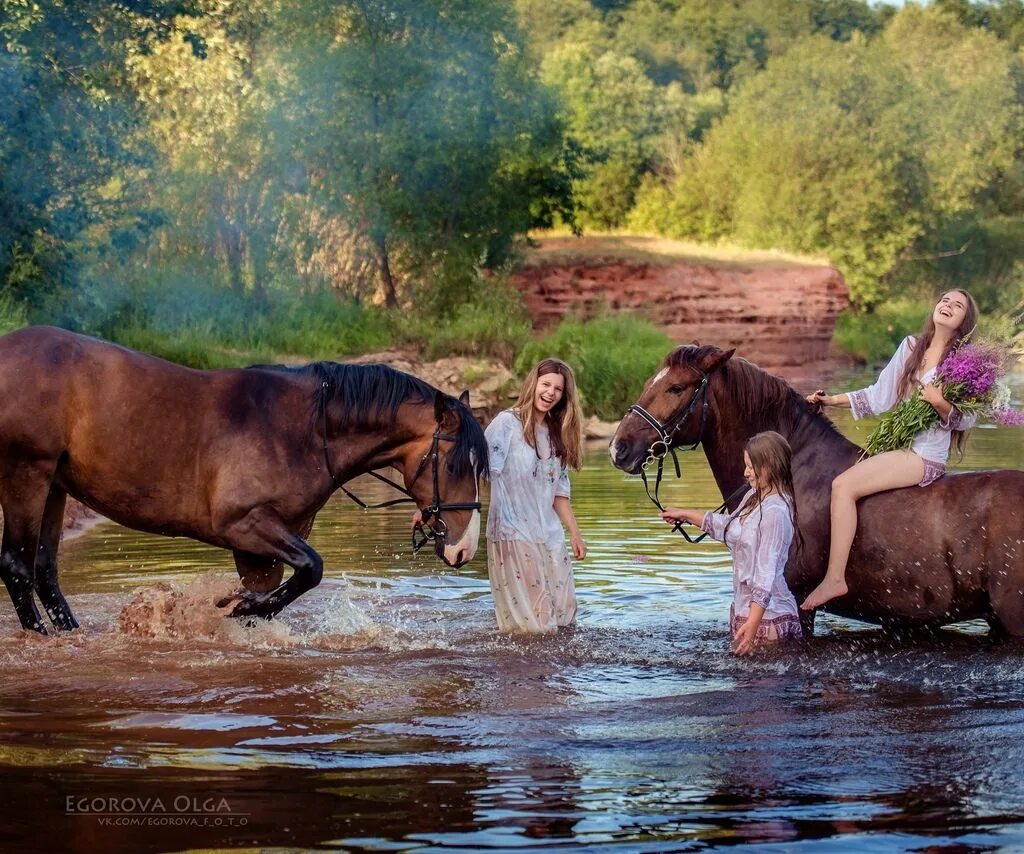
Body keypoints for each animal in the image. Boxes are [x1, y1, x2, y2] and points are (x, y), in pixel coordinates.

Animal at [0, 325, 487, 630]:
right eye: (454, 465)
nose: (464, 549)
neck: (304, 430)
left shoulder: (261, 552)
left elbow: (278, 594)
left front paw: (245, 610)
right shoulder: (244, 524)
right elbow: (312, 569)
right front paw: (234, 608)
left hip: (55, 485)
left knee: (44, 571)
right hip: (26, 473)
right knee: (18, 567)